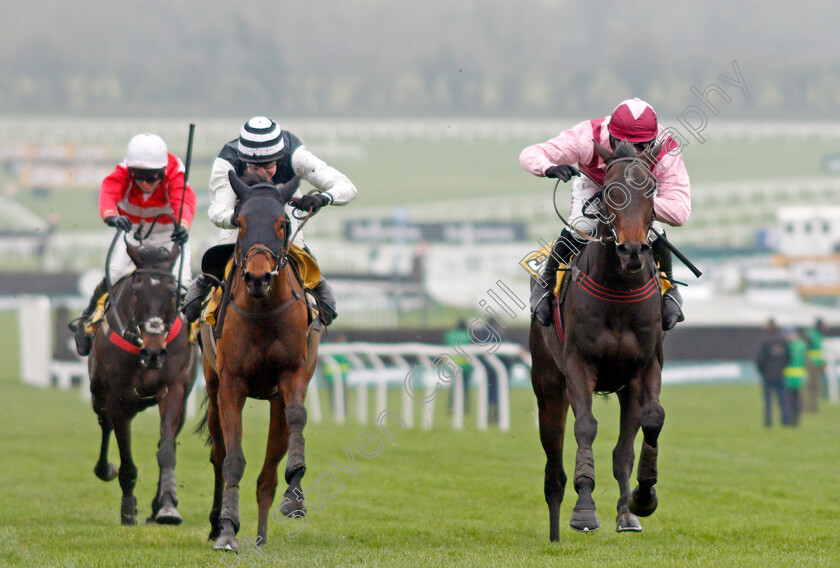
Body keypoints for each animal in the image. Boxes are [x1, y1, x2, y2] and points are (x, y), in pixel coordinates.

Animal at [88, 235, 199, 524]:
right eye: (137, 292)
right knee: (104, 425)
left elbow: (166, 451)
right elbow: (126, 458)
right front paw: (128, 509)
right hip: (98, 395)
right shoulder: (116, 398)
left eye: (173, 292)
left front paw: (168, 505)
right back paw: (106, 469)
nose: (154, 352)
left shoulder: (173, 389)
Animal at [200, 171, 322, 552]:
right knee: (218, 455)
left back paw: (262, 534)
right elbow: (233, 459)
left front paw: (295, 495)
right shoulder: (231, 384)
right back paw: (217, 523)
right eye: (240, 223)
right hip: (211, 387)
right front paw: (227, 530)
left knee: (269, 471)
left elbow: (297, 418)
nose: (258, 278)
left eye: (282, 223)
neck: (264, 312)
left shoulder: (291, 375)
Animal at [532, 140, 668, 540]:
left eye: (652, 187)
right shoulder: (579, 364)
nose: (633, 250)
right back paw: (555, 532)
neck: (619, 291)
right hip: (548, 384)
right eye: (609, 191)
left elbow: (652, 419)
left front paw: (644, 497)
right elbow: (586, 427)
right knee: (553, 469)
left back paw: (626, 514)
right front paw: (585, 510)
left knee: (622, 453)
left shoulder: (645, 368)